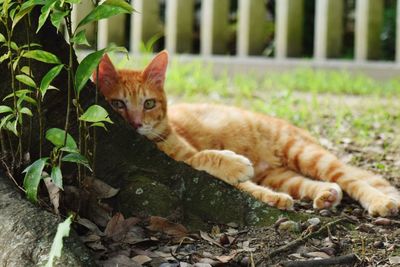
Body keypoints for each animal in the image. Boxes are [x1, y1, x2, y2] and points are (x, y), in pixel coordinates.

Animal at [95, 51, 400, 219]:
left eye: (148, 103)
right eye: (117, 104)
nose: (134, 124)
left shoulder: (184, 155)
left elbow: (203, 157)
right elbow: (242, 183)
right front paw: (264, 192)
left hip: (306, 154)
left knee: (352, 179)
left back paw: (380, 201)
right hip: (280, 175)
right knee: (312, 183)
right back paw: (325, 194)